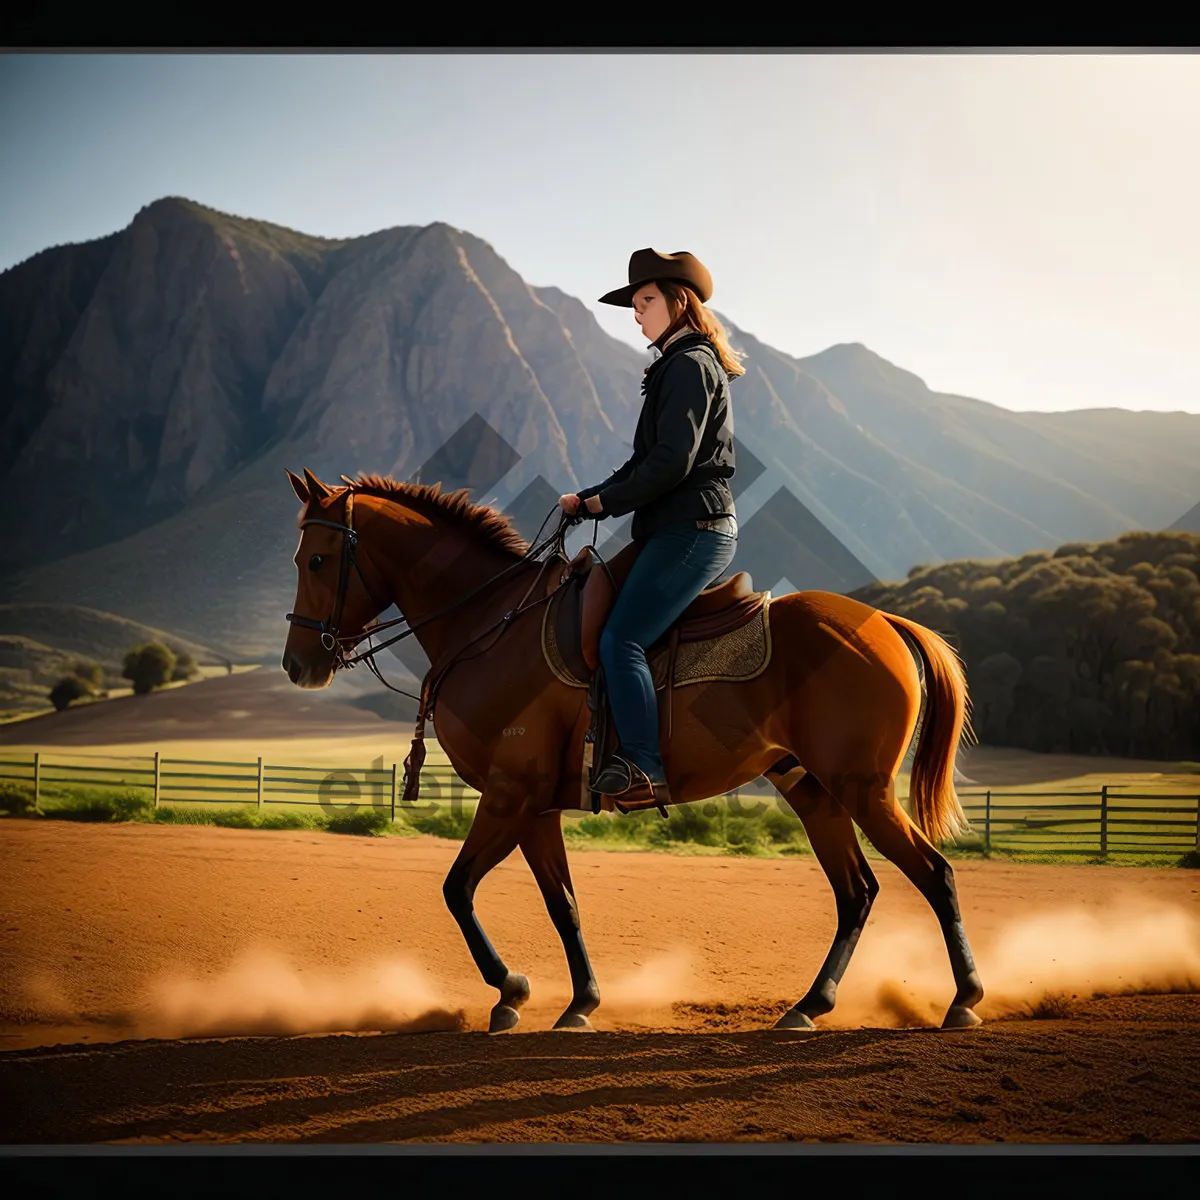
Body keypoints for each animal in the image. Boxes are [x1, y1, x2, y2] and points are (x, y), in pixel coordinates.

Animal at [278, 472, 984, 1036]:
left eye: (316, 560)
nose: (296, 664)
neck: (490, 623)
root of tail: (885, 622)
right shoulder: (534, 808)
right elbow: (562, 904)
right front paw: (576, 1003)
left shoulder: (508, 796)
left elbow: (457, 889)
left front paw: (513, 989)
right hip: (811, 789)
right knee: (856, 892)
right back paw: (810, 1006)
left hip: (863, 787)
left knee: (934, 875)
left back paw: (963, 999)